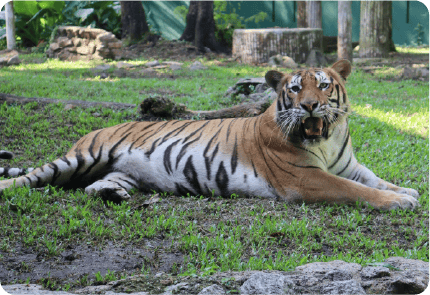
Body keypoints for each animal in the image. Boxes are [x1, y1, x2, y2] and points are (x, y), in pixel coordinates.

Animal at [0, 60, 418, 210]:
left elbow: (373, 179)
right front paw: (399, 202)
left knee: (93, 186)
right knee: (29, 178)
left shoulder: (347, 165)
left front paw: (406, 190)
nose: (311, 106)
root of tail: (92, 131)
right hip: (81, 157)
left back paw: (110, 195)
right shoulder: (305, 178)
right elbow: (356, 190)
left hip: (121, 171)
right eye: (297, 88)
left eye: (325, 85)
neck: (326, 139)